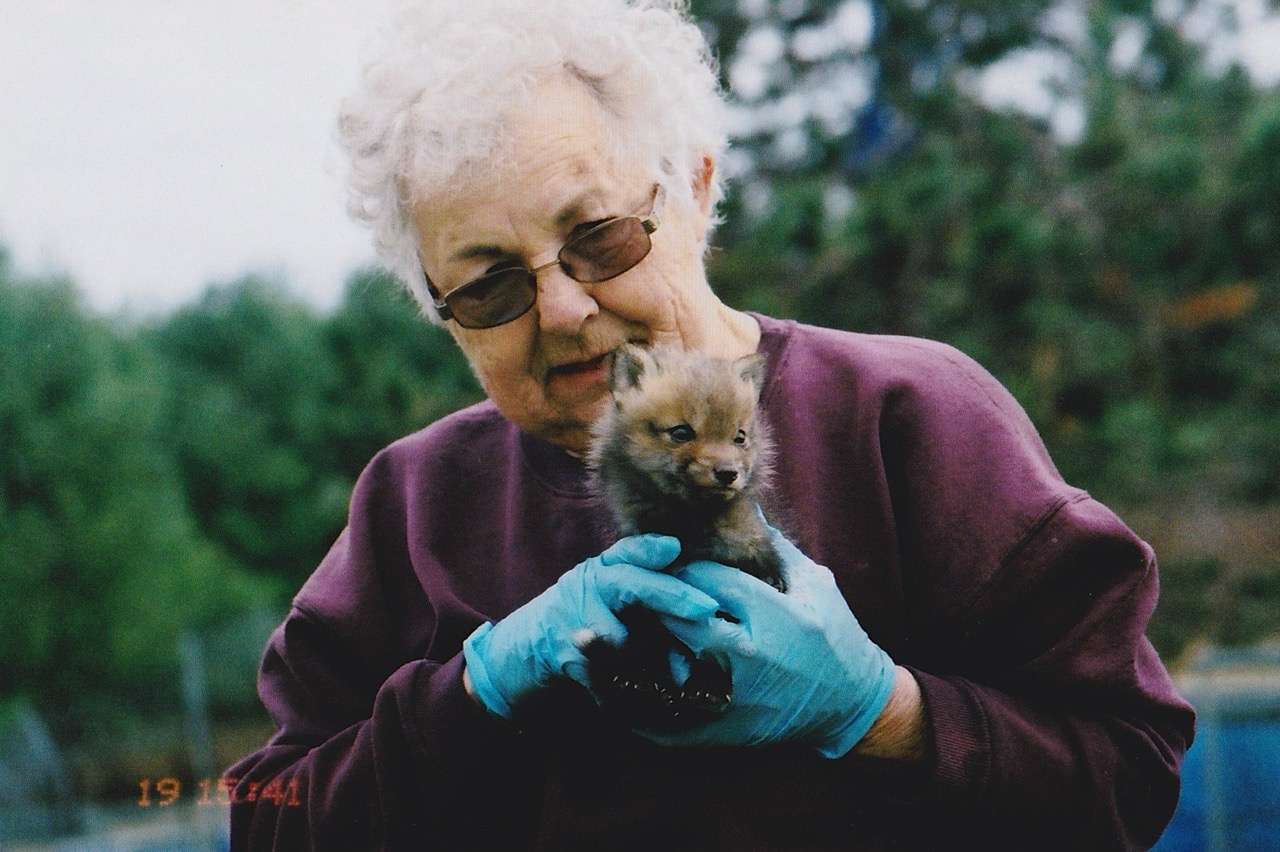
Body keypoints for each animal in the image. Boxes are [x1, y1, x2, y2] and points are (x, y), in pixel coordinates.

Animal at [581, 343, 785, 730]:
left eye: (739, 437)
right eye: (681, 433)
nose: (728, 473)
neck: (690, 532)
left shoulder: (751, 575)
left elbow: (717, 648)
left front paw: (707, 688)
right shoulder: (641, 589)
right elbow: (646, 638)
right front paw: (641, 680)